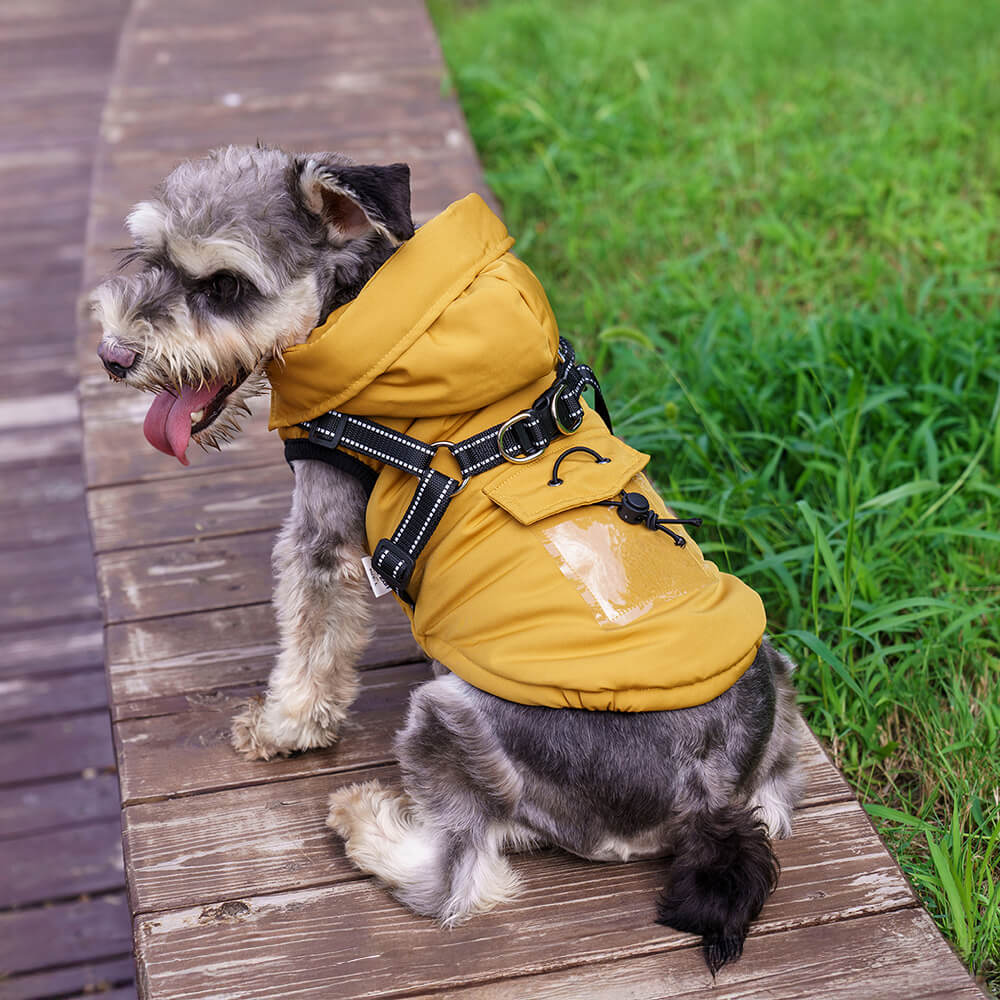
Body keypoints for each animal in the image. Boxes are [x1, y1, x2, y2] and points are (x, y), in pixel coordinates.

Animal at [92, 145, 804, 972]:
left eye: (226, 286)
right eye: (149, 255)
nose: (114, 356)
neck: (373, 312)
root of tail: (708, 804)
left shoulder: (321, 538)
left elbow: (307, 646)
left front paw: (282, 728)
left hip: (448, 712)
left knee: (459, 880)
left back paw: (365, 821)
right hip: (776, 687)